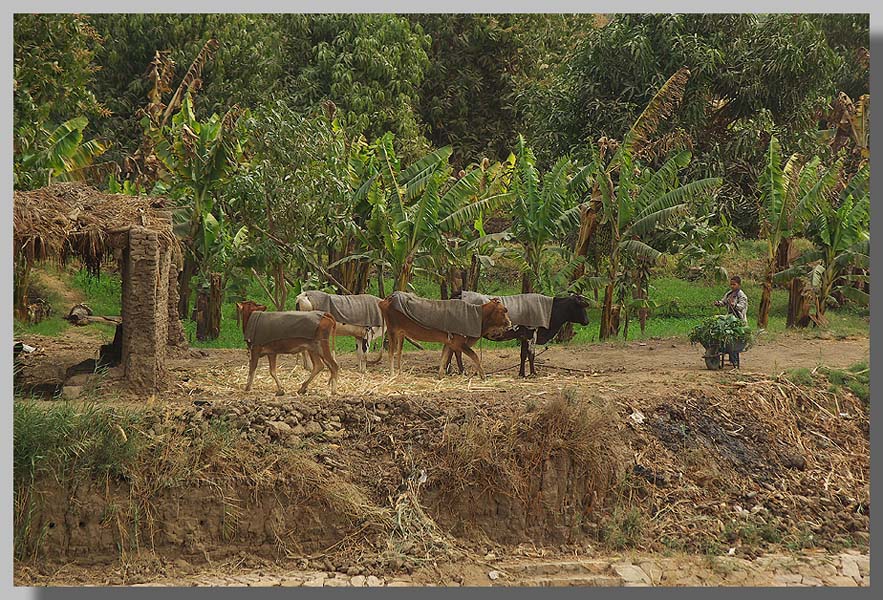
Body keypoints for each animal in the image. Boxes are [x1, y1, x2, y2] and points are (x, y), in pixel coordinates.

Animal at [378, 290, 512, 380]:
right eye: (504, 310)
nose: (510, 323)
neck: (478, 317)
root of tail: (387, 299)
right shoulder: (459, 342)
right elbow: (475, 356)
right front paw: (483, 376)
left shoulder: (449, 342)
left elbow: (444, 357)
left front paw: (440, 375)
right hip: (392, 330)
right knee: (391, 352)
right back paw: (392, 374)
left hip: (401, 332)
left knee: (399, 352)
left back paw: (400, 373)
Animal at [446, 292, 592, 378]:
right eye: (580, 306)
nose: (587, 321)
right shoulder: (532, 333)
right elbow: (531, 354)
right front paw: (533, 373)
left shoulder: (523, 336)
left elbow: (523, 355)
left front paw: (522, 374)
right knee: (457, 351)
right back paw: (461, 371)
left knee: (452, 349)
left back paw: (450, 371)